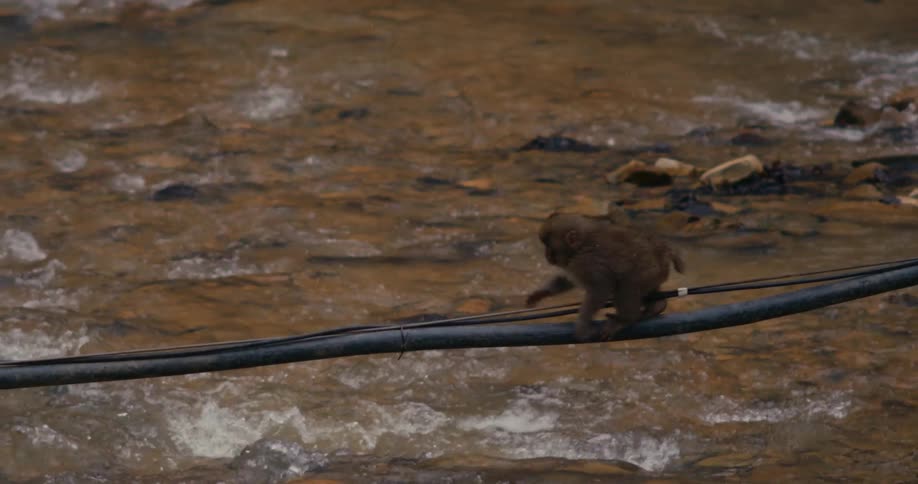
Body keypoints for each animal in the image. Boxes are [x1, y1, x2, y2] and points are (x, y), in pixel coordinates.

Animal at [526, 211, 685, 341]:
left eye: (549, 247)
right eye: (545, 245)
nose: (546, 255)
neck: (580, 247)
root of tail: (663, 249)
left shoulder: (586, 262)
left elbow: (600, 288)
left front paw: (582, 325)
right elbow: (568, 280)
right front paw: (540, 294)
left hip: (648, 270)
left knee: (626, 287)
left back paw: (626, 319)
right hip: (656, 273)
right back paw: (657, 306)